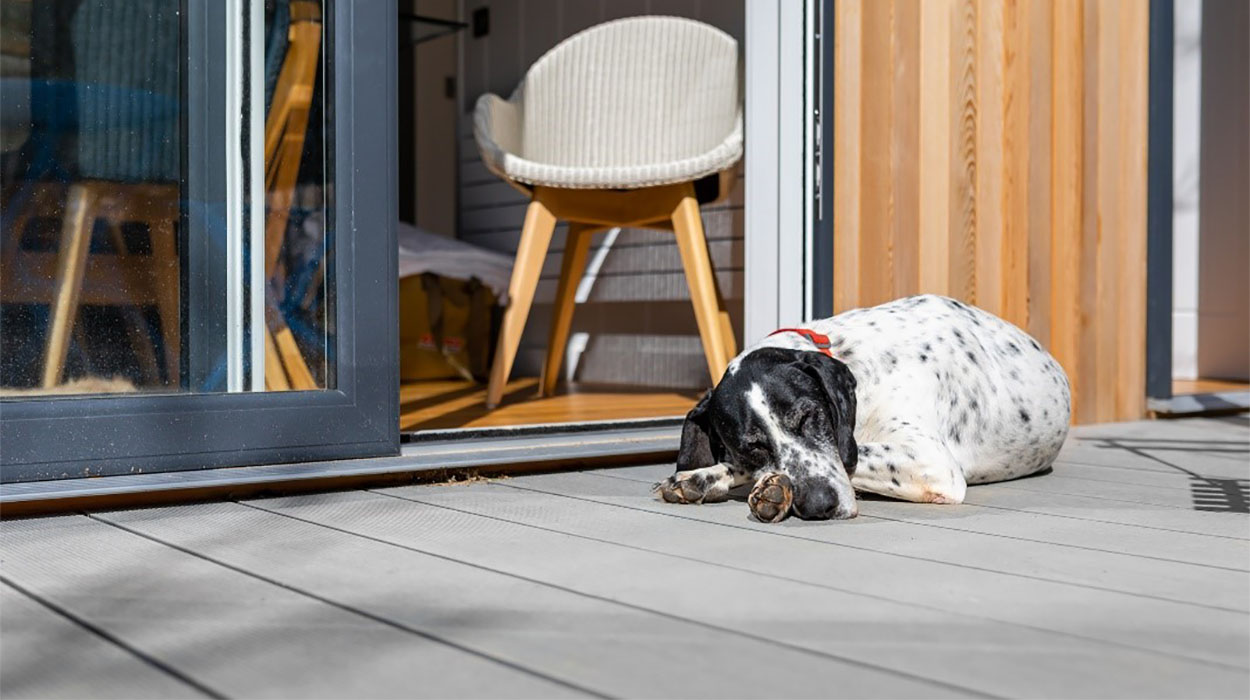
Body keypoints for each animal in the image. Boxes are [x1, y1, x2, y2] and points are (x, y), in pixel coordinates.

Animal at [655, 293, 1075, 520]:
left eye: (809, 416)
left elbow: (852, 455)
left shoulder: (932, 462)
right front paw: (702, 477)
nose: (819, 505)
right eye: (751, 446)